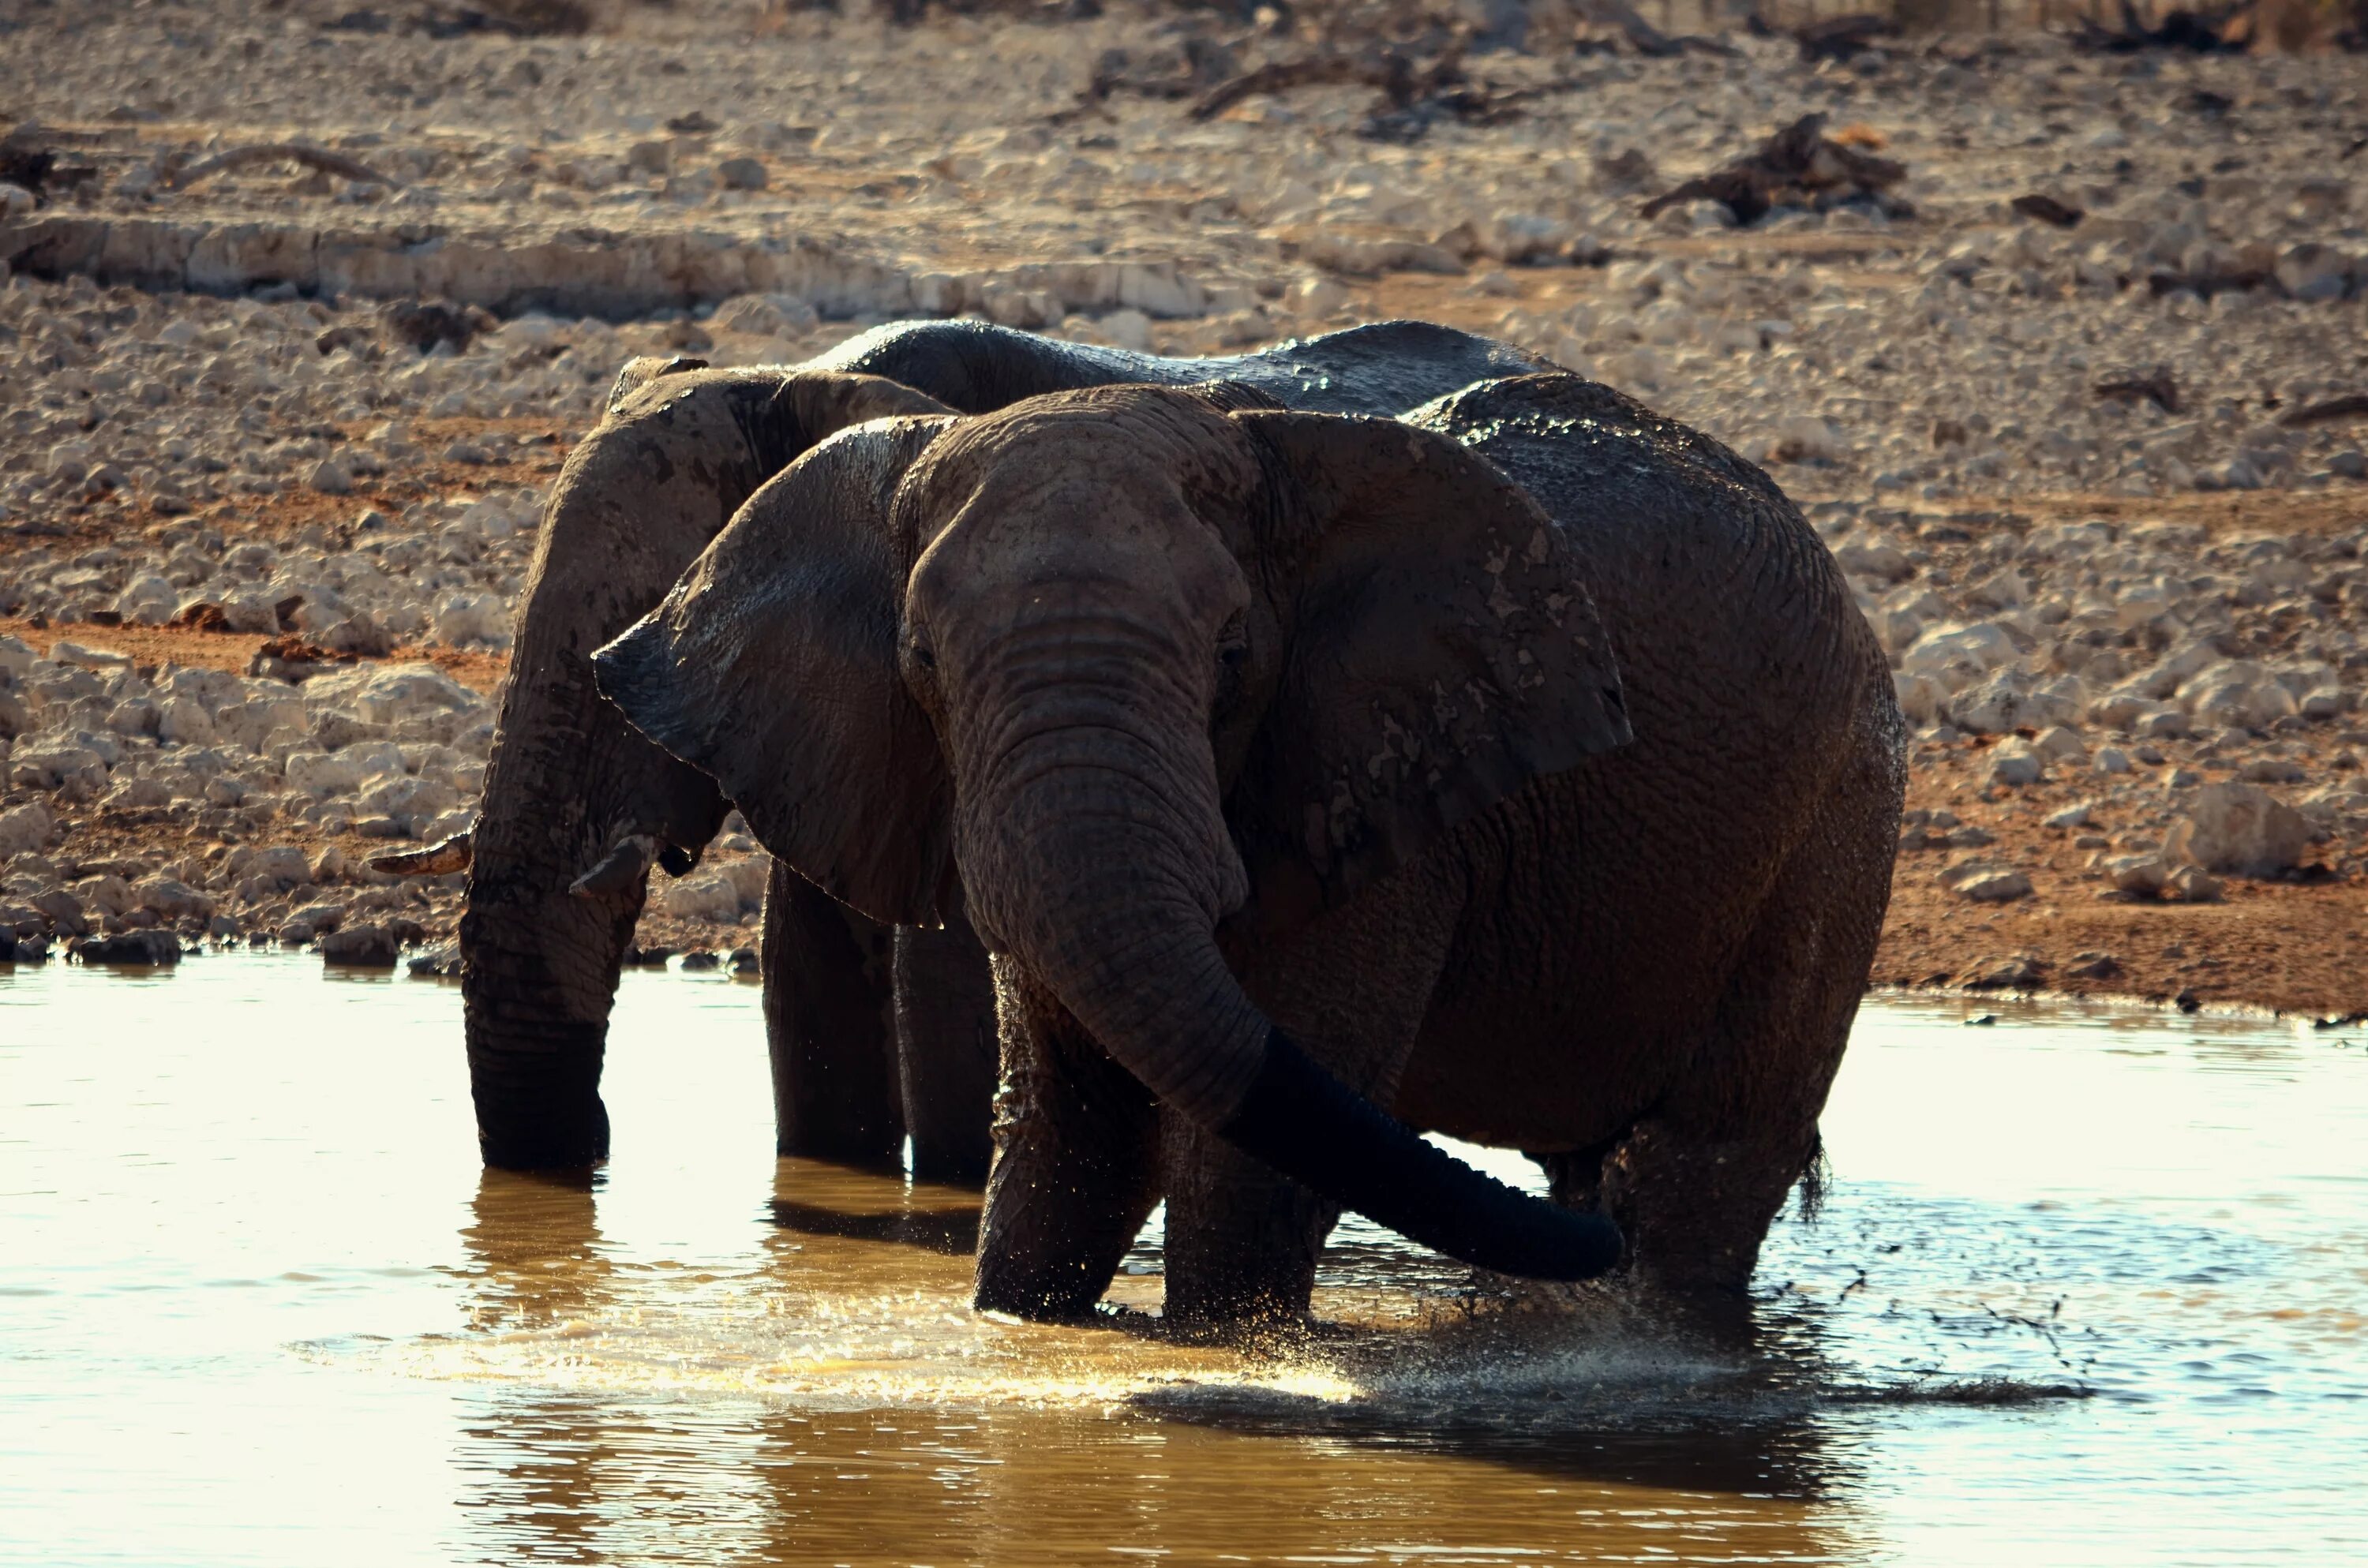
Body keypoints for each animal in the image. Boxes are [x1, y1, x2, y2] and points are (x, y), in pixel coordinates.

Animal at [587, 374, 1904, 1335]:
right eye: (917, 658)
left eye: (1231, 658)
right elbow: (1073, 1128)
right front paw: (1023, 1335)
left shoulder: (1379, 786)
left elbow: (1242, 1156)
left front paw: (1225, 1356)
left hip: (1842, 812)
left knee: (1706, 1157)